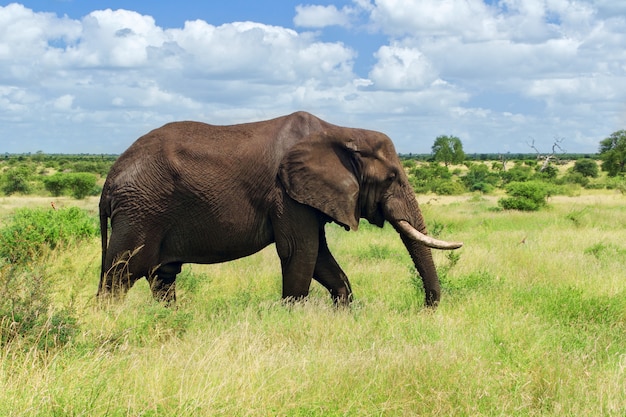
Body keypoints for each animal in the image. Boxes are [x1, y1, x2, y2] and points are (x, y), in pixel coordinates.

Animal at [96, 110, 458, 306]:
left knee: (162, 277)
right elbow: (301, 252)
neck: (341, 131)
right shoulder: (286, 194)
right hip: (141, 211)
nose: (426, 309)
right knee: (119, 275)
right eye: (392, 177)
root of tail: (110, 179)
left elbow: (321, 258)